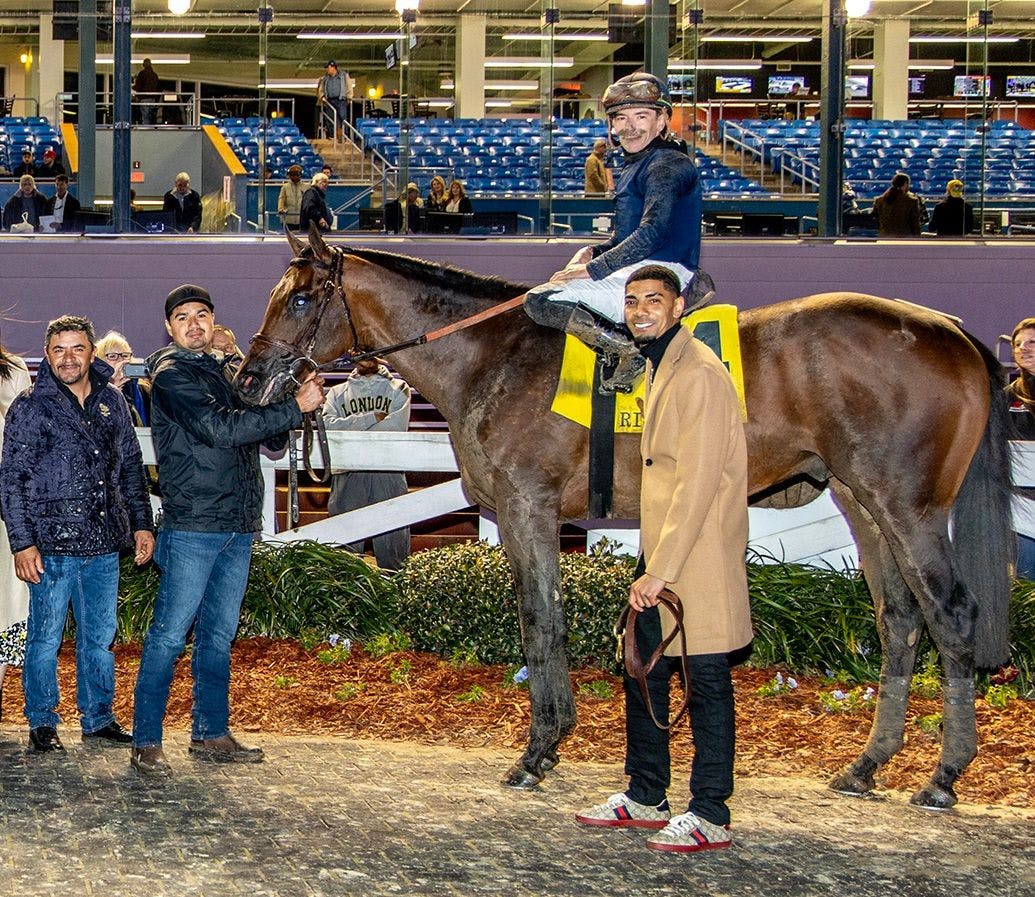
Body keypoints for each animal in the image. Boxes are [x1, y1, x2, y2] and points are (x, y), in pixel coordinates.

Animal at [234, 231, 1010, 815]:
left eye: (300, 297)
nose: (249, 380)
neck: (495, 357)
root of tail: (946, 328)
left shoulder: (529, 507)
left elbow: (541, 618)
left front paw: (538, 748)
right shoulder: (520, 515)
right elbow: (539, 617)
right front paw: (549, 743)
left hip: (906, 508)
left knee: (950, 614)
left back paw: (943, 775)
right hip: (861, 501)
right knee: (899, 620)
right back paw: (868, 764)